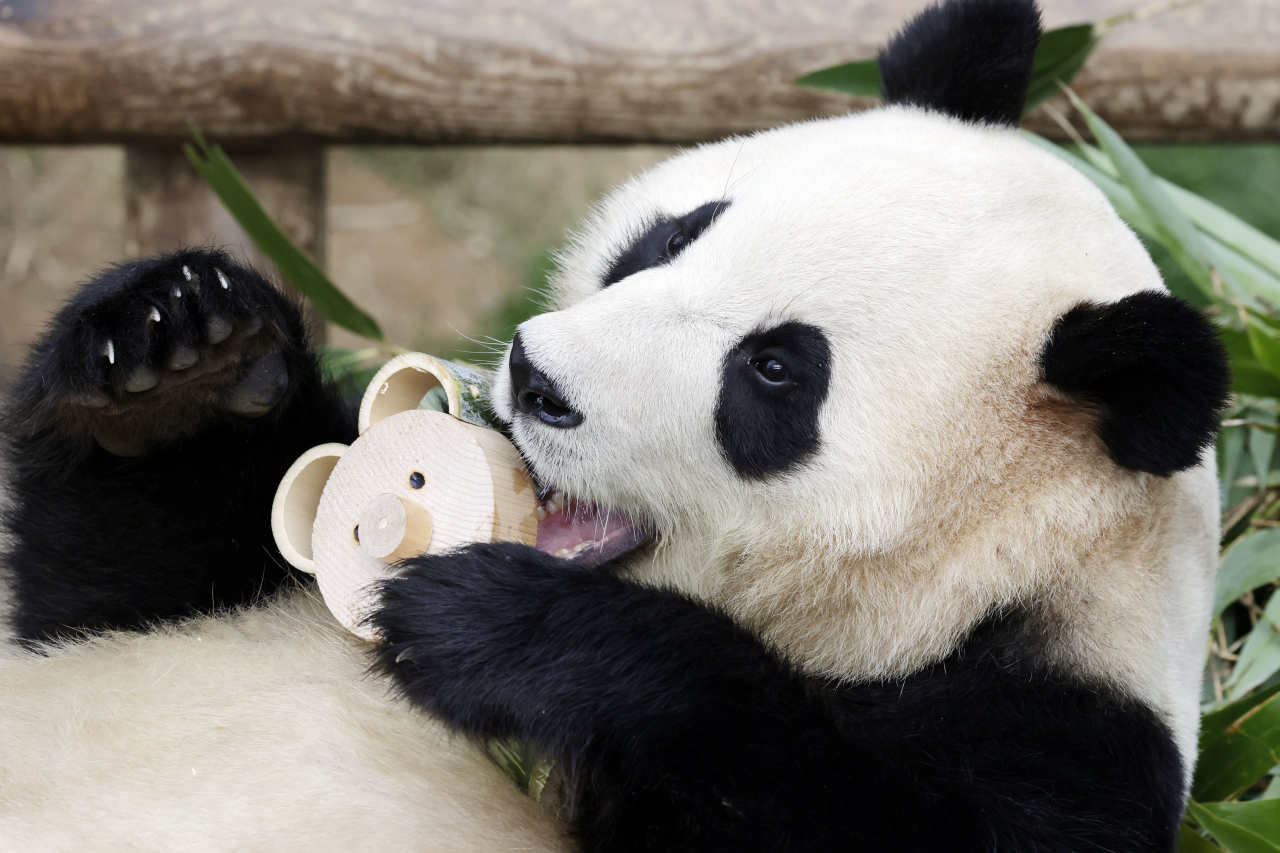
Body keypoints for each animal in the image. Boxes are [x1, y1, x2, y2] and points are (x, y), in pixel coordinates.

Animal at [0, 0, 1228, 845]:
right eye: (672, 237)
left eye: (772, 372)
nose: (538, 379)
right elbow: (119, 577)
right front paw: (176, 359)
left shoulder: (1061, 735)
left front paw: (502, 628)